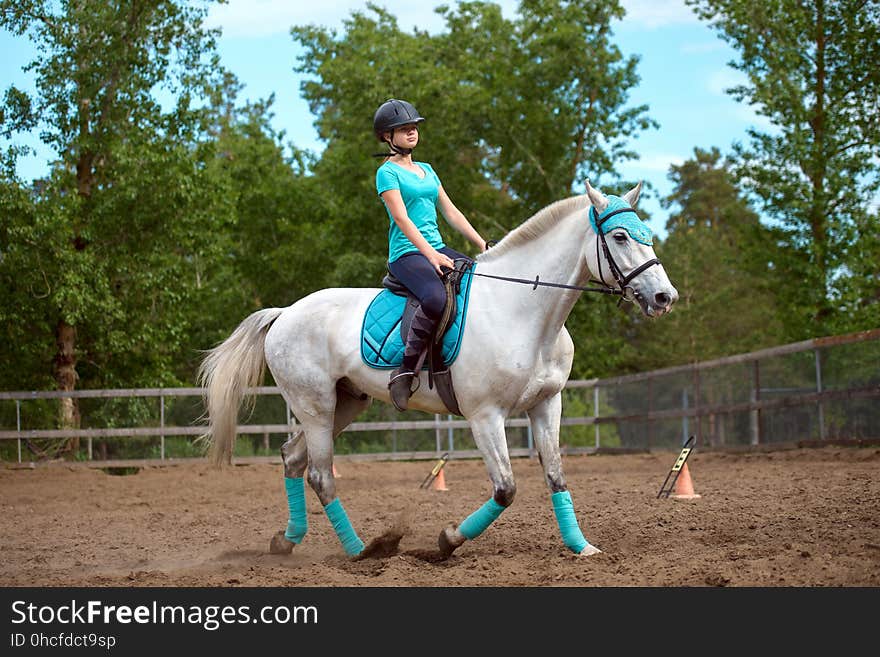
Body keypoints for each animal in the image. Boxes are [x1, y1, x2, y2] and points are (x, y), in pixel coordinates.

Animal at [201, 179, 680, 560]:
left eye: (647, 236)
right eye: (620, 236)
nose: (664, 297)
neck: (525, 311)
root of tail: (285, 313)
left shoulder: (547, 405)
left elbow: (556, 476)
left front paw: (582, 547)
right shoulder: (485, 416)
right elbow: (506, 488)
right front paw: (448, 540)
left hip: (344, 404)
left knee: (293, 458)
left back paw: (287, 541)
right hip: (314, 405)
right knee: (320, 475)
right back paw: (362, 551)